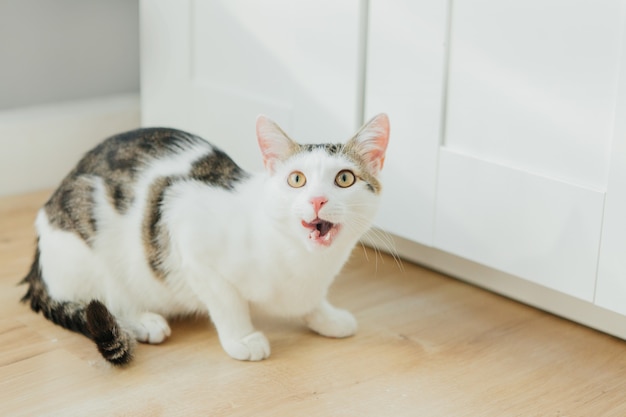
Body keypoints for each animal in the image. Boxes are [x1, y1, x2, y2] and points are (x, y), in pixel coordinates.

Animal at [19, 114, 388, 364]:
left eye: (344, 178)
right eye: (296, 179)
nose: (318, 200)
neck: (303, 262)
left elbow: (310, 302)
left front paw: (326, 317)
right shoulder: (187, 233)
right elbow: (227, 302)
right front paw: (243, 338)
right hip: (90, 242)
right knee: (105, 300)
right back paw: (143, 322)